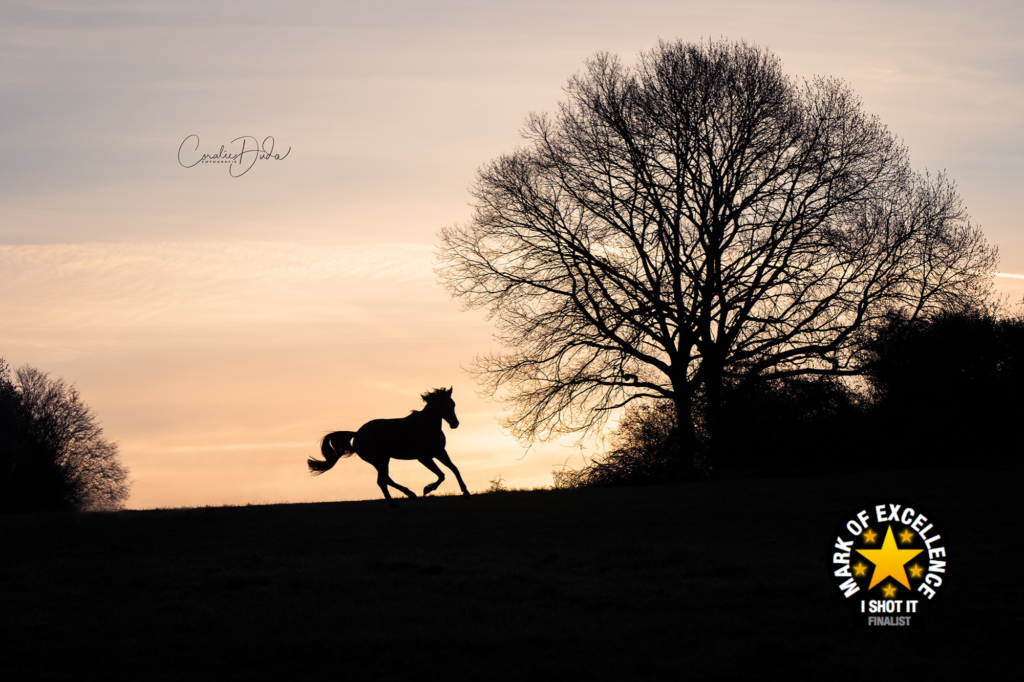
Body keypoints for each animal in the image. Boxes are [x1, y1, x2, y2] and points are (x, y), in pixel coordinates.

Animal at [309, 387, 468, 503]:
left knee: (384, 479)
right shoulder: (423, 457)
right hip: (379, 460)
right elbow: (441, 474)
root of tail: (357, 434)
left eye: (453, 404)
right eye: (442, 405)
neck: (426, 427)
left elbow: (454, 469)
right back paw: (401, 499)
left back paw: (403, 498)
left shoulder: (439, 452)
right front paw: (427, 489)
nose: (455, 424)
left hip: (383, 460)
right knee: (382, 480)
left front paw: (465, 492)